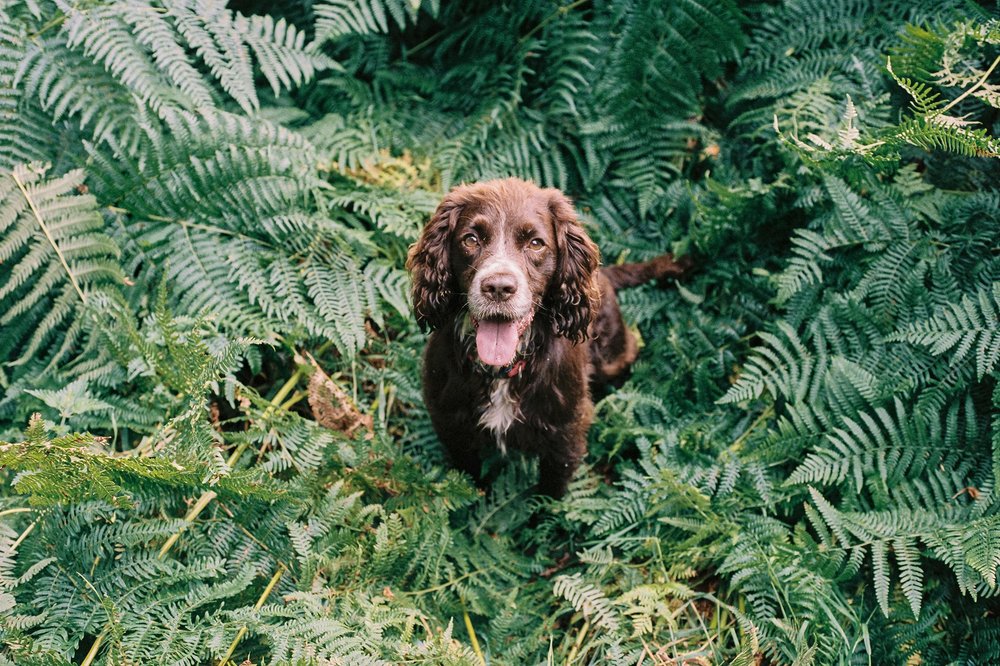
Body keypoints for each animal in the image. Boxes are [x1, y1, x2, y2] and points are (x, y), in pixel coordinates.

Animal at [408, 179, 688, 496]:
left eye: (535, 243)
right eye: (471, 239)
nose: (498, 287)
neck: (501, 372)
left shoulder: (565, 433)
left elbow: (550, 493)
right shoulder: (451, 425)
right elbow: (470, 478)